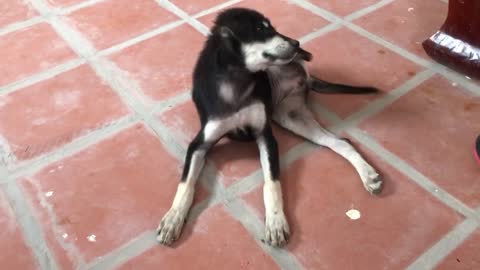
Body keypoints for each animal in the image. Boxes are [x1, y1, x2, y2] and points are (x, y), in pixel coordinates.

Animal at [157, 7, 382, 248]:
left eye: (272, 27)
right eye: (259, 29)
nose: (296, 43)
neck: (238, 80)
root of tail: (307, 79)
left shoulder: (266, 136)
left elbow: (272, 183)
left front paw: (275, 222)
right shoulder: (200, 143)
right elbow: (185, 184)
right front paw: (172, 218)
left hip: (289, 115)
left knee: (341, 142)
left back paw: (368, 175)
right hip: (291, 117)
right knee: (339, 142)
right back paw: (368, 174)